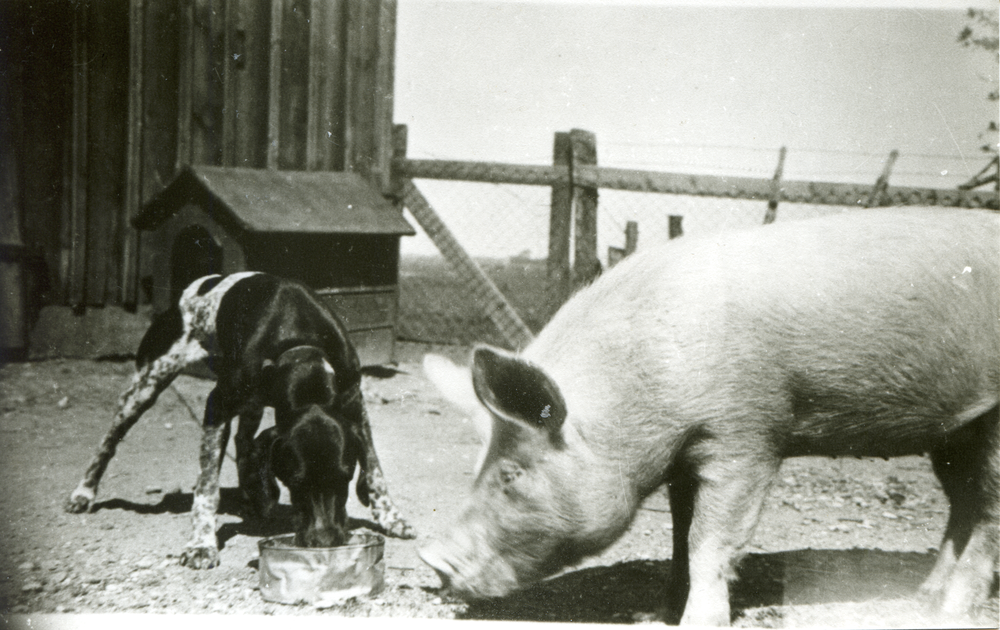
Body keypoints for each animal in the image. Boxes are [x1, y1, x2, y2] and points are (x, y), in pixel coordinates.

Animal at [64, 274, 414, 572]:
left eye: (344, 477)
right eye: (296, 481)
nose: (326, 542)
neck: (299, 343)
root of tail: (193, 288)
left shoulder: (353, 402)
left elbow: (375, 469)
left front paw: (390, 516)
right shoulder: (217, 406)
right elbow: (207, 488)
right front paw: (201, 544)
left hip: (251, 403)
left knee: (245, 443)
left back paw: (254, 494)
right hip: (148, 383)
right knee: (109, 440)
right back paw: (84, 492)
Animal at [418, 210, 996, 628]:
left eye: (511, 474)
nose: (430, 559)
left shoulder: (747, 436)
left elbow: (709, 539)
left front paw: (698, 621)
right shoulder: (684, 453)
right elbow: (680, 531)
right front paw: (659, 612)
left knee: (988, 509)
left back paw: (952, 610)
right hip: (956, 429)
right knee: (962, 502)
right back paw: (922, 599)